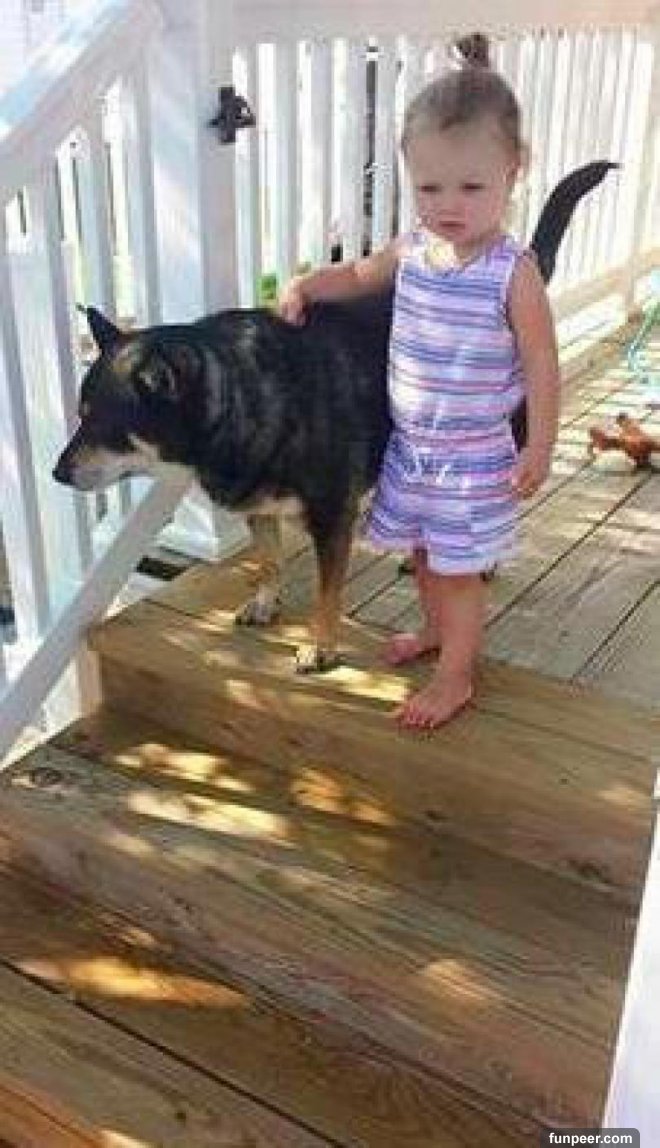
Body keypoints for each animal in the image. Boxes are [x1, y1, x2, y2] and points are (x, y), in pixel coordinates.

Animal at [54, 161, 616, 671]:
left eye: (103, 424)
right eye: (80, 415)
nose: (56, 474)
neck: (241, 391)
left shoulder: (331, 519)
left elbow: (328, 594)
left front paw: (320, 646)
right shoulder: (260, 508)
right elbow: (268, 560)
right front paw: (266, 603)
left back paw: (481, 565)